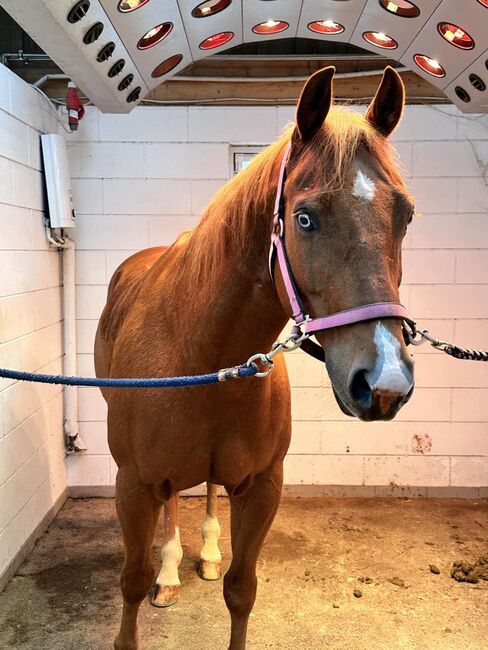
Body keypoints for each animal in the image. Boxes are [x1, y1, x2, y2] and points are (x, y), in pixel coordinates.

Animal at [94, 67, 416, 648]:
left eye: (405, 215)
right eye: (304, 219)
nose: (385, 382)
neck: (201, 351)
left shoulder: (262, 486)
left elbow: (242, 591)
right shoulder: (132, 485)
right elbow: (130, 581)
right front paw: (156, 578)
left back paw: (206, 554)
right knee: (172, 505)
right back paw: (170, 573)